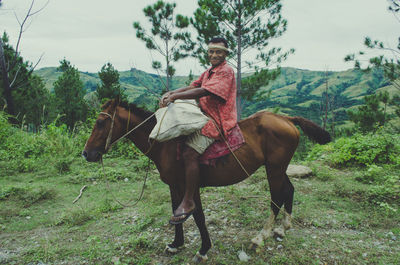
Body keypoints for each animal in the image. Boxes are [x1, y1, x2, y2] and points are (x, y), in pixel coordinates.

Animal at [82, 98, 332, 260]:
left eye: (101, 123)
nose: (87, 154)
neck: (165, 145)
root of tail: (286, 118)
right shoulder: (174, 186)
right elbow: (176, 213)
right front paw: (176, 244)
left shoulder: (190, 187)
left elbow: (198, 216)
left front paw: (203, 249)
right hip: (279, 169)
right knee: (289, 190)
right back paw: (282, 228)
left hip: (274, 169)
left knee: (276, 197)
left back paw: (261, 237)